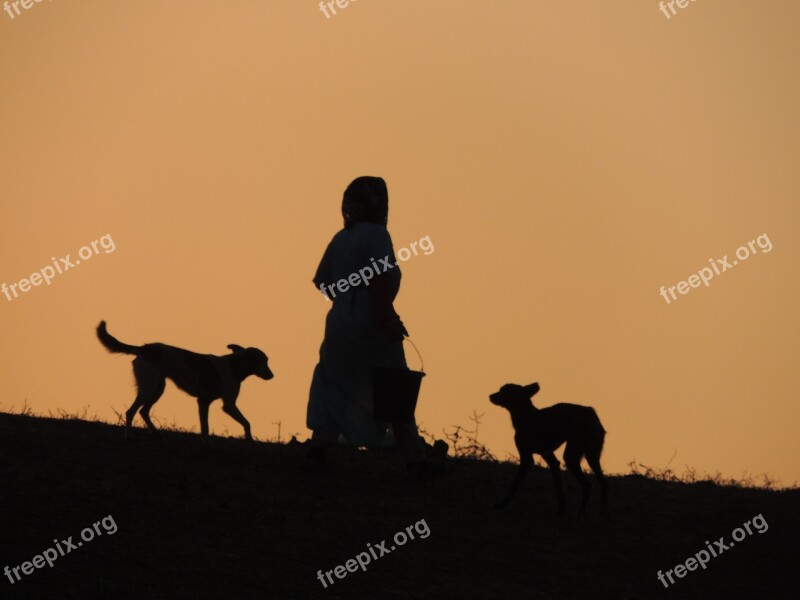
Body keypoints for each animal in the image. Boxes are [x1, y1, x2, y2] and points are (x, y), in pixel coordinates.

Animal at [94, 322, 272, 442]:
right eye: (264, 361)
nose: (272, 375)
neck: (234, 366)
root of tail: (144, 348)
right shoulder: (228, 405)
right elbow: (247, 422)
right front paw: (249, 439)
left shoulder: (203, 402)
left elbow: (205, 427)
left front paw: (206, 443)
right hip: (148, 388)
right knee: (130, 411)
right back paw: (129, 436)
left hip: (157, 389)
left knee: (143, 411)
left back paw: (156, 433)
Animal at [488, 382, 608, 512]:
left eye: (503, 391)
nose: (490, 396)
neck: (526, 416)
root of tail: (591, 412)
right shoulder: (549, 456)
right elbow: (559, 489)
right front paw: (562, 509)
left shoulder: (527, 459)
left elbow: (515, 484)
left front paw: (502, 504)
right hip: (591, 457)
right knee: (603, 482)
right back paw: (603, 511)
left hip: (572, 457)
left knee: (587, 484)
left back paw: (581, 512)